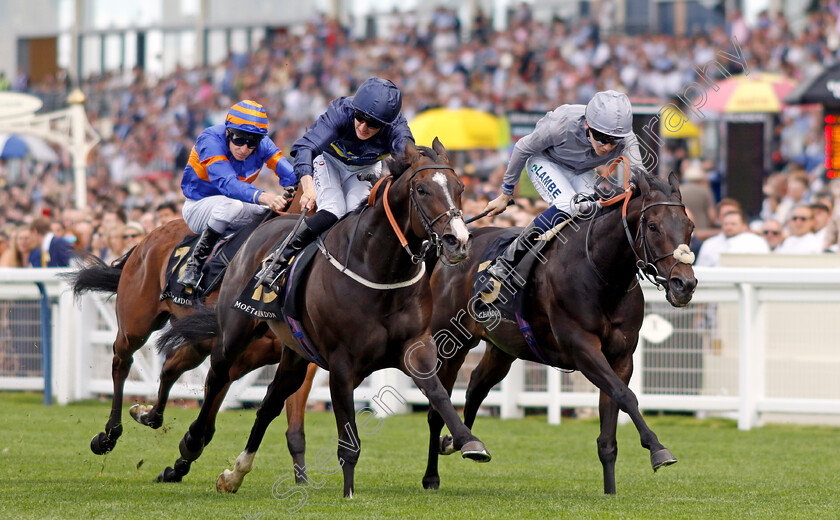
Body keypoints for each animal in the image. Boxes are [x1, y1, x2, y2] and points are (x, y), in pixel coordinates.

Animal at [64, 200, 316, 476]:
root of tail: (149, 237)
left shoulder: (299, 356)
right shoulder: (233, 354)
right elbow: (208, 421)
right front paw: (184, 458)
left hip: (197, 343)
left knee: (169, 369)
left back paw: (149, 417)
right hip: (136, 324)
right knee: (122, 362)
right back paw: (109, 435)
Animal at [156, 140, 492, 498]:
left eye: (460, 188)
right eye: (422, 189)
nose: (458, 241)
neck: (378, 269)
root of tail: (259, 232)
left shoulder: (416, 346)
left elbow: (438, 394)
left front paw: (469, 442)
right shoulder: (343, 364)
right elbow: (349, 439)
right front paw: (349, 493)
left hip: (295, 354)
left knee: (269, 404)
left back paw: (235, 473)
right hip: (235, 333)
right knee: (218, 376)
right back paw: (192, 442)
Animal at [424, 172, 700, 496]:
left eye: (690, 226)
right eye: (653, 225)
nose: (685, 284)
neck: (602, 274)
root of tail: (454, 248)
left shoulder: (621, 358)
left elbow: (611, 425)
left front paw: (610, 491)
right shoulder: (582, 349)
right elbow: (626, 396)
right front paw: (658, 449)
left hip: (503, 348)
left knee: (477, 387)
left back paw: (461, 442)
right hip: (450, 343)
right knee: (436, 407)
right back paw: (432, 475)